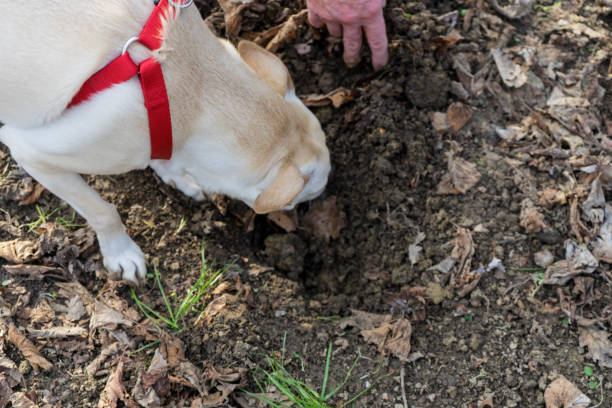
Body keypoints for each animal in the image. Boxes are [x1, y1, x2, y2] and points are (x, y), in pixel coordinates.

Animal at [0, 0, 330, 284]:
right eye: (302, 199)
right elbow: (103, 212)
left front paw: (178, 177)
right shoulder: (31, 152)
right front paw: (121, 252)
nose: (301, 224)